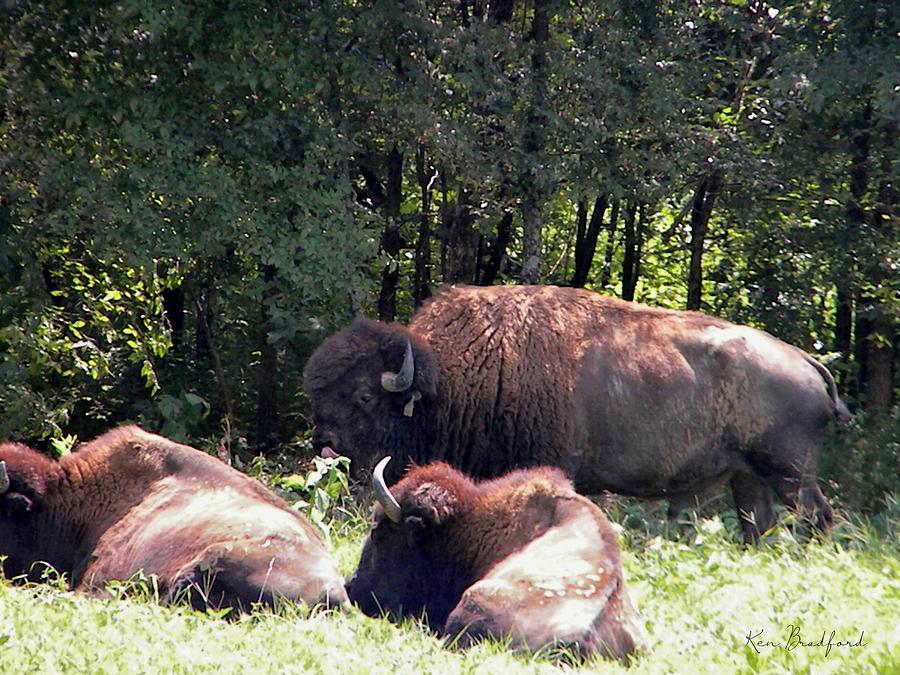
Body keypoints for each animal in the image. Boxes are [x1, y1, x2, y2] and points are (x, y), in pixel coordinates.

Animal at [306, 282, 848, 540]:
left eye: (364, 396)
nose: (323, 442)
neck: (450, 379)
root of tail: (805, 361)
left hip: (790, 473)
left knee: (817, 518)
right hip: (748, 476)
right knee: (758, 523)